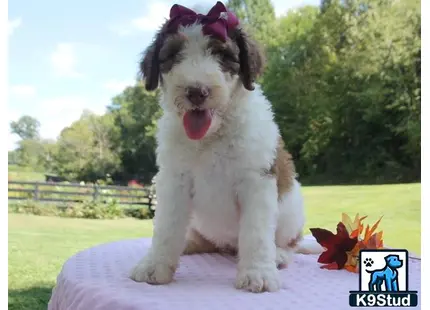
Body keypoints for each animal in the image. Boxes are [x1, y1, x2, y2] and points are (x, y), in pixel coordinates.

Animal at [131, 1, 322, 294]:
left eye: (222, 54)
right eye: (174, 55)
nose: (196, 92)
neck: (212, 136)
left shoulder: (256, 180)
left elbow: (256, 232)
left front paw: (258, 273)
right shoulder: (174, 180)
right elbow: (166, 227)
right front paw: (155, 265)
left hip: (292, 212)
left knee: (289, 242)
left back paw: (278, 255)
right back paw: (190, 243)